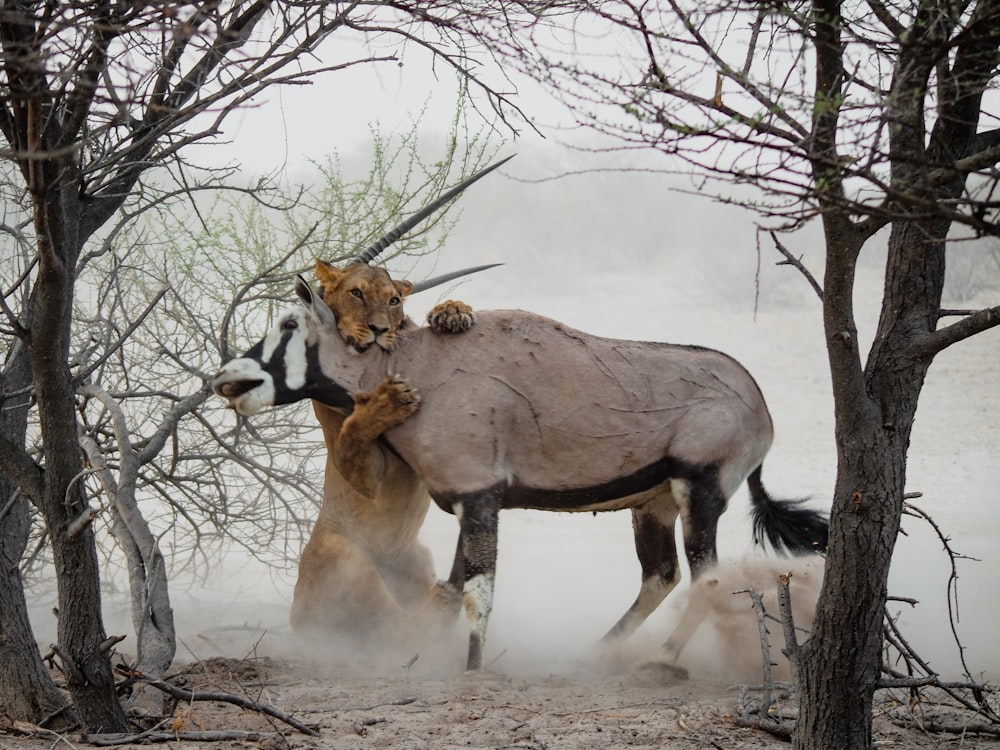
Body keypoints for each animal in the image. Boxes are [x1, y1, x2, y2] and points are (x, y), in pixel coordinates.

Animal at [217, 280, 828, 672]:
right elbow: (449, 590)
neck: (415, 365)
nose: (227, 378)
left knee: (707, 580)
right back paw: (598, 653)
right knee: (660, 576)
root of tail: (759, 404)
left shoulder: (480, 500)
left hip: (699, 491)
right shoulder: (467, 502)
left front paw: (471, 670)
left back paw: (661, 660)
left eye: (289, 322)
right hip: (652, 502)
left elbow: (478, 592)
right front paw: (428, 657)